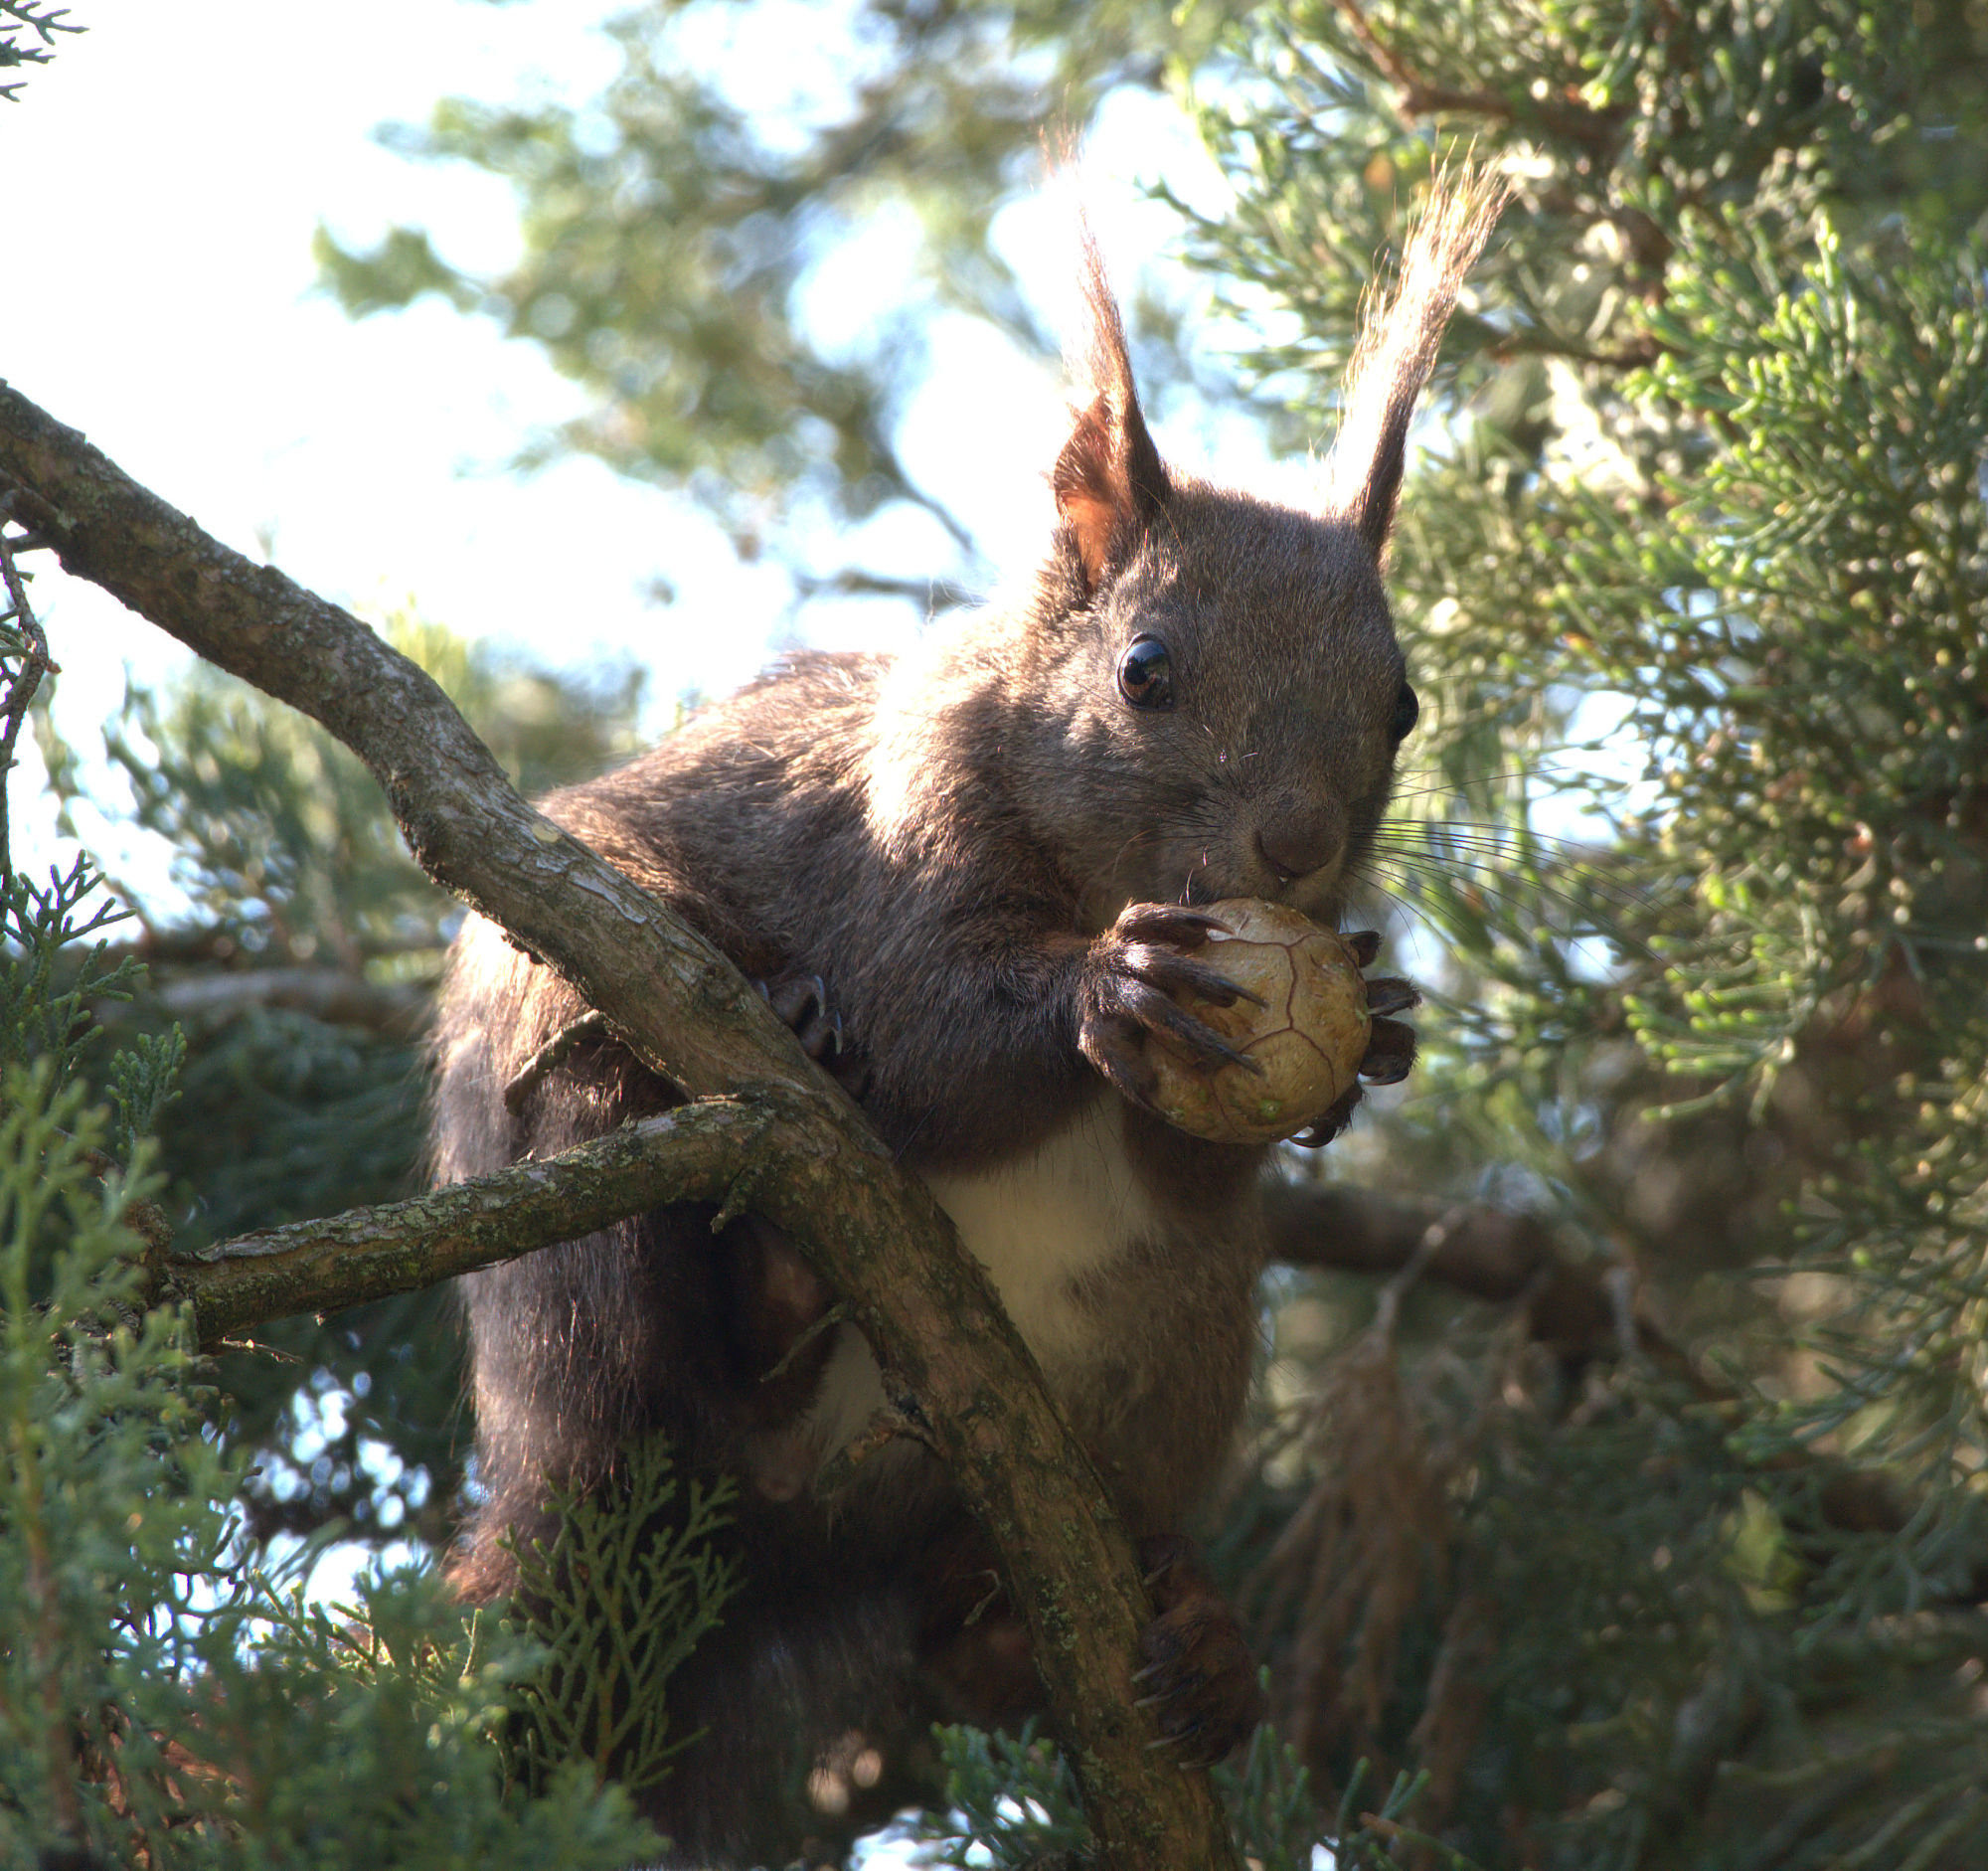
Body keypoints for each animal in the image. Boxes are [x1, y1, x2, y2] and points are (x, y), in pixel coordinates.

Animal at [429, 173, 1500, 1865]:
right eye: (1144, 671)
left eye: (1401, 705)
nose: (1298, 845)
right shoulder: (902, 824)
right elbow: (928, 1031)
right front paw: (1108, 993)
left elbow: (1199, 1154)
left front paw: (1373, 1035)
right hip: (569, 1163)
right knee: (657, 1313)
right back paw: (776, 1265)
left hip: (1176, 1350)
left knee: (958, 1627)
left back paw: (1151, 1630)